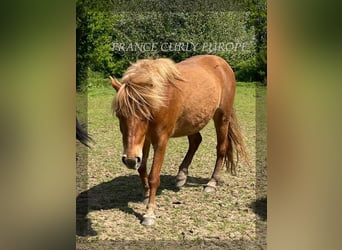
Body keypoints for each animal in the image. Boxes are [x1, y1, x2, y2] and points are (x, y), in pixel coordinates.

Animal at [110, 55, 248, 227]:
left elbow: (154, 176)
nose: (129, 160)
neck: (160, 98)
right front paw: (146, 195)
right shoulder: (144, 140)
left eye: (144, 115)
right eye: (119, 114)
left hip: (222, 117)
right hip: (192, 122)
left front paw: (150, 213)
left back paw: (212, 183)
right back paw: (181, 175)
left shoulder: (160, 141)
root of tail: (222, 63)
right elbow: (142, 168)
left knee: (221, 148)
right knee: (196, 141)